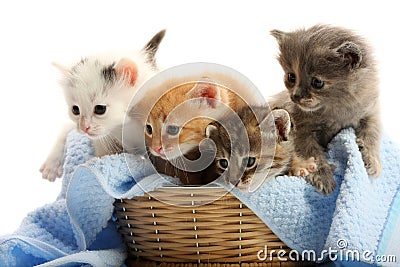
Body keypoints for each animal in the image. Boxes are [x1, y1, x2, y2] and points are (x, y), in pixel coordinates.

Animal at [270, 24, 380, 194]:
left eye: (317, 82)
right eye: (291, 77)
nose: (295, 96)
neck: (336, 108)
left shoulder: (370, 113)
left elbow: (371, 135)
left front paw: (372, 160)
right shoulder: (301, 131)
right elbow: (312, 153)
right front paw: (323, 177)